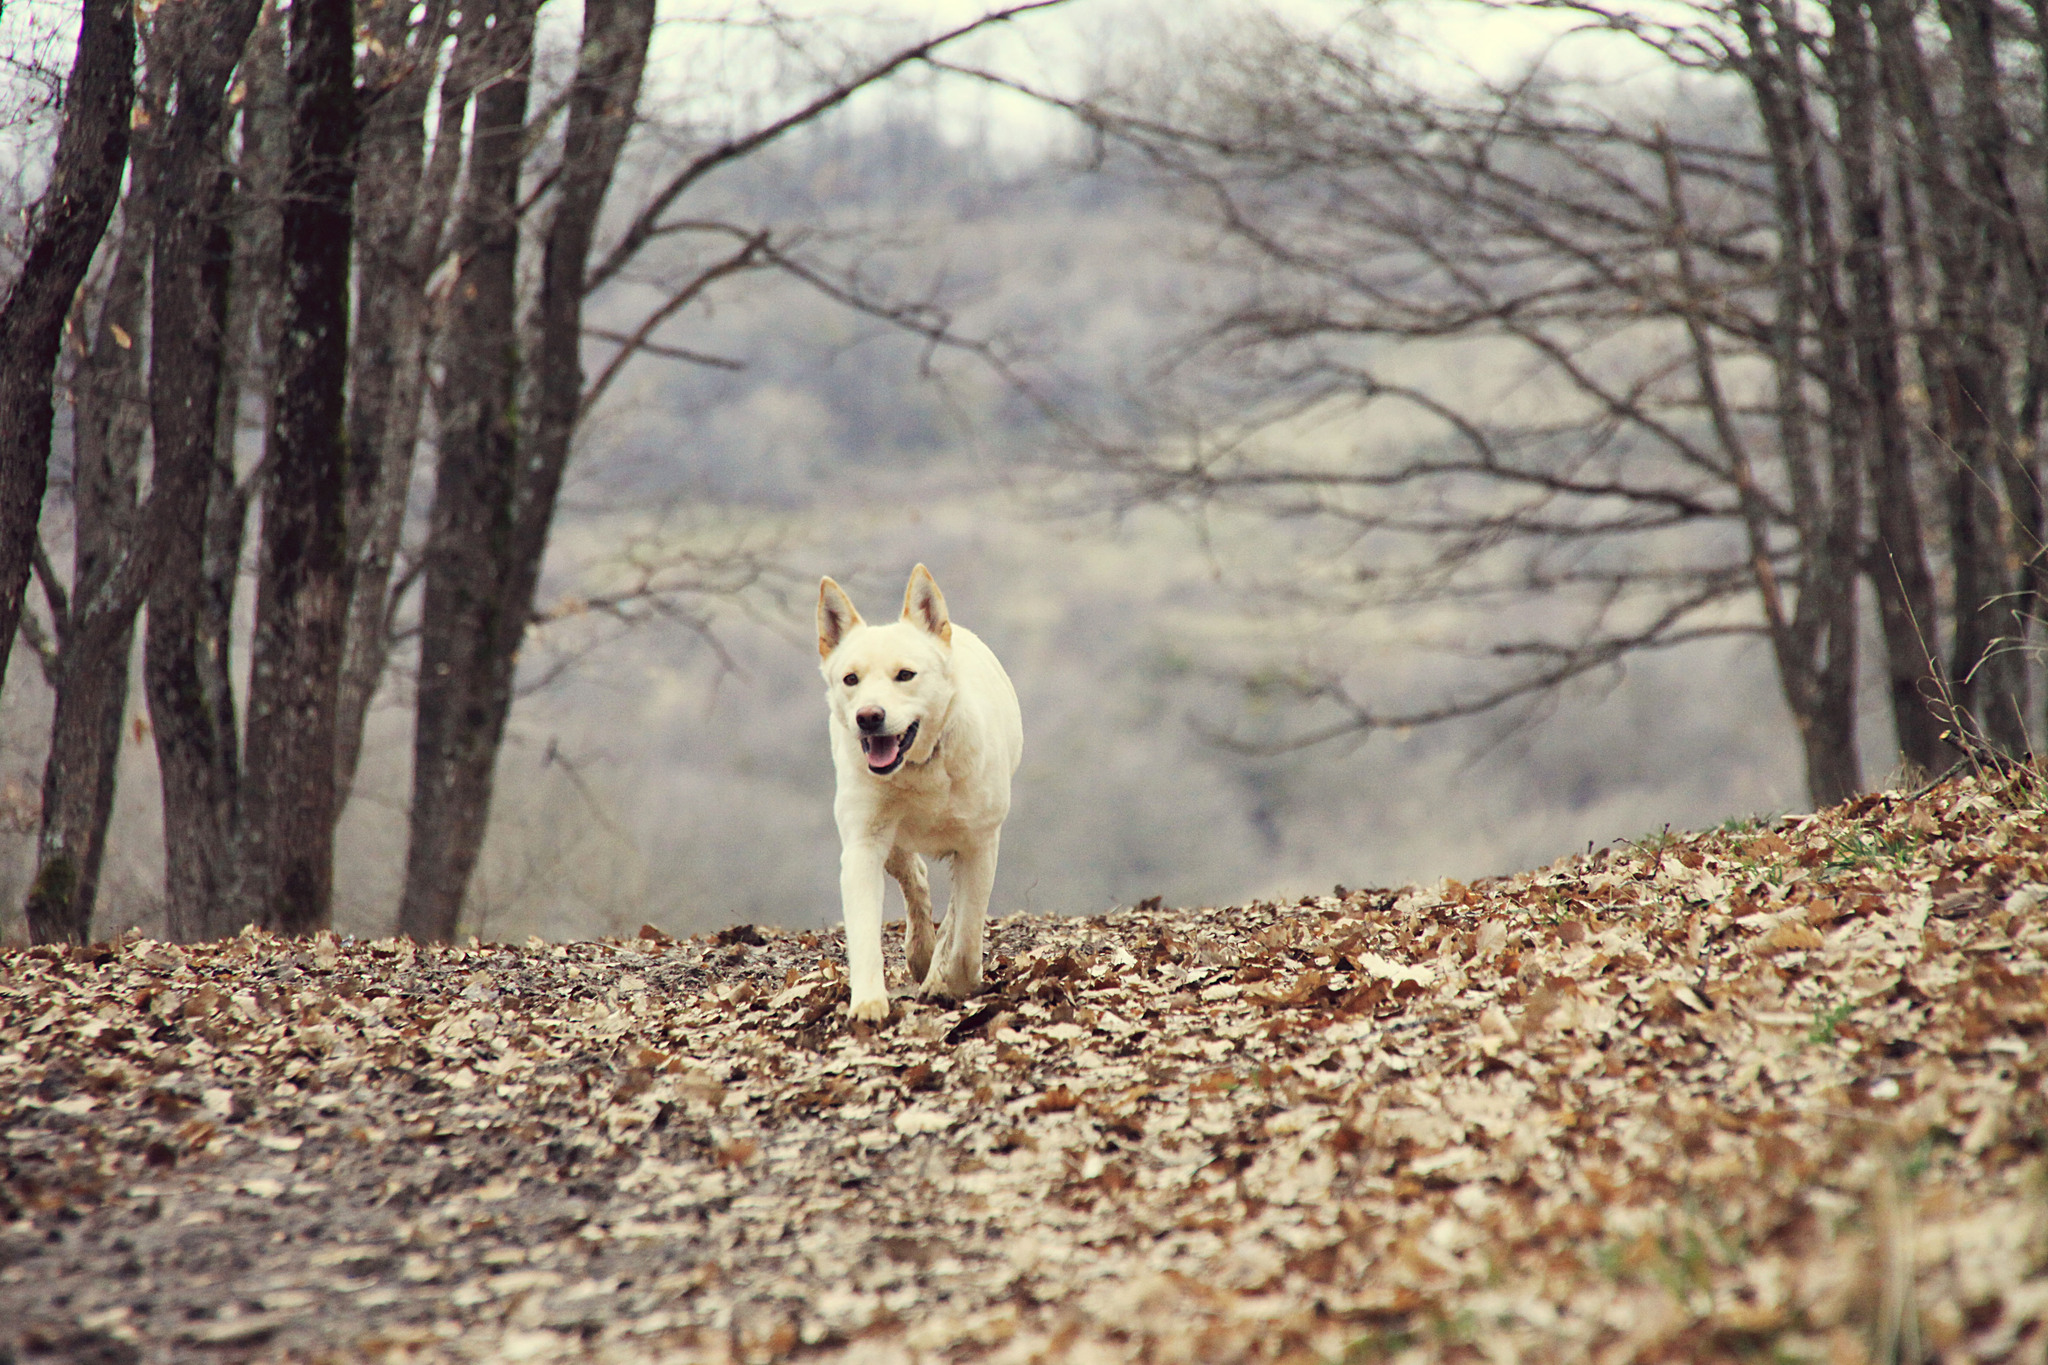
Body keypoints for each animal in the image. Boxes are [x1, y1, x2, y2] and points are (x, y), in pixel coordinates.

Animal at [815, 560, 1024, 1019]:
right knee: (916, 878)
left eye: (905, 675)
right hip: (892, 844)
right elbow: (864, 933)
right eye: (851, 679)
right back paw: (921, 952)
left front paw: (950, 983)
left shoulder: (980, 844)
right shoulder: (863, 844)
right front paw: (869, 1004)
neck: (920, 766)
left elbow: (965, 940)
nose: (868, 716)